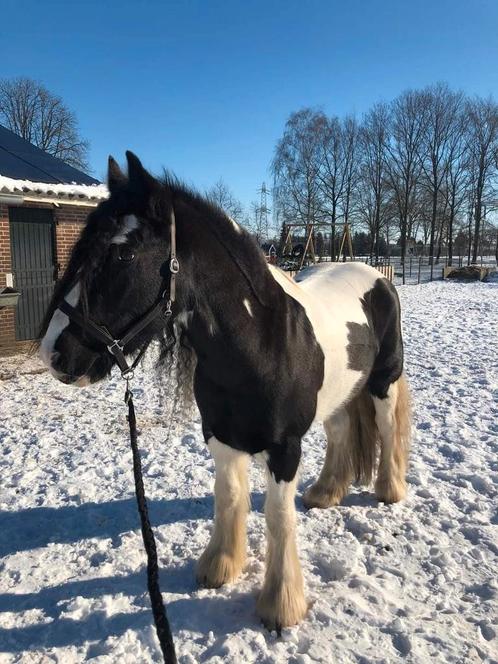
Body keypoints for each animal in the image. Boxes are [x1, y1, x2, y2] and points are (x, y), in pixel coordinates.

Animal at [40, 153, 412, 632]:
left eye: (124, 252)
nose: (54, 352)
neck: (260, 342)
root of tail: (376, 276)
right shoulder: (218, 436)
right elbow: (229, 497)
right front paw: (219, 567)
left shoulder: (284, 449)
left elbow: (277, 517)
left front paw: (280, 605)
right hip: (340, 392)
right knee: (342, 431)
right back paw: (325, 493)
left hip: (383, 382)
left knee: (386, 430)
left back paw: (389, 490)